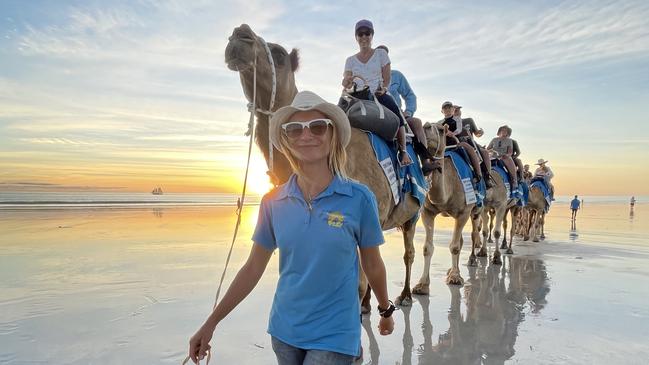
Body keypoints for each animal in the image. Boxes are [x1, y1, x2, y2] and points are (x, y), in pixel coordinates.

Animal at [227, 24, 420, 306]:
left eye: (279, 54)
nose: (240, 34)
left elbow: (356, 284)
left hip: (413, 212)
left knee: (409, 251)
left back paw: (406, 294)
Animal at [410, 123, 480, 288]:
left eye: (441, 130)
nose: (426, 126)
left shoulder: (463, 212)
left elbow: (454, 247)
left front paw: (454, 278)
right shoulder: (427, 211)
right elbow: (427, 248)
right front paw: (422, 284)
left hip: (476, 209)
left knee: (474, 233)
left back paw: (473, 260)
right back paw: (453, 270)